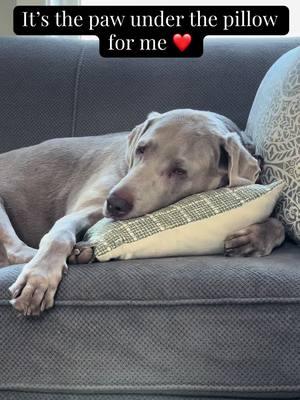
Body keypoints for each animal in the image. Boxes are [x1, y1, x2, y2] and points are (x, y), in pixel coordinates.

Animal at [2, 109, 284, 316]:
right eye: (141, 149)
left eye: (179, 171)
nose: (114, 203)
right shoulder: (90, 203)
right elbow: (58, 234)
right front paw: (39, 277)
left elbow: (279, 224)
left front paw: (256, 237)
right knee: (15, 252)